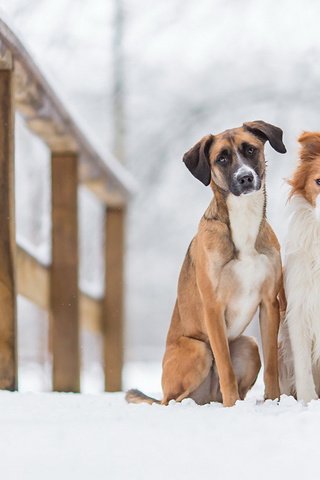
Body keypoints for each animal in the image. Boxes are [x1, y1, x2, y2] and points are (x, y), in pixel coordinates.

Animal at [126, 120, 286, 404]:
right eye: (221, 158)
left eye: (250, 149)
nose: (245, 178)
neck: (243, 220)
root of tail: (206, 398)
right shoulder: (213, 307)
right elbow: (225, 367)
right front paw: (234, 407)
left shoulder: (269, 303)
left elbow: (272, 367)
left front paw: (274, 402)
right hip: (198, 349)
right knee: (172, 401)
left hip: (248, 344)